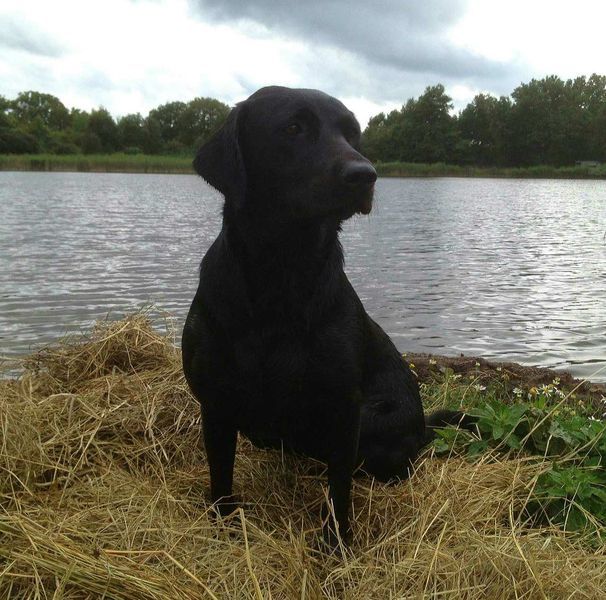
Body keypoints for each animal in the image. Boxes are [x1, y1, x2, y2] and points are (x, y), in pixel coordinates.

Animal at [182, 86, 468, 544]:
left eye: (353, 134)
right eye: (293, 127)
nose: (365, 174)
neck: (281, 276)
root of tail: (423, 425)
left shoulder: (342, 408)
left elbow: (339, 488)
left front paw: (337, 544)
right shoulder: (215, 401)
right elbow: (220, 476)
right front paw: (223, 525)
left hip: (374, 418)